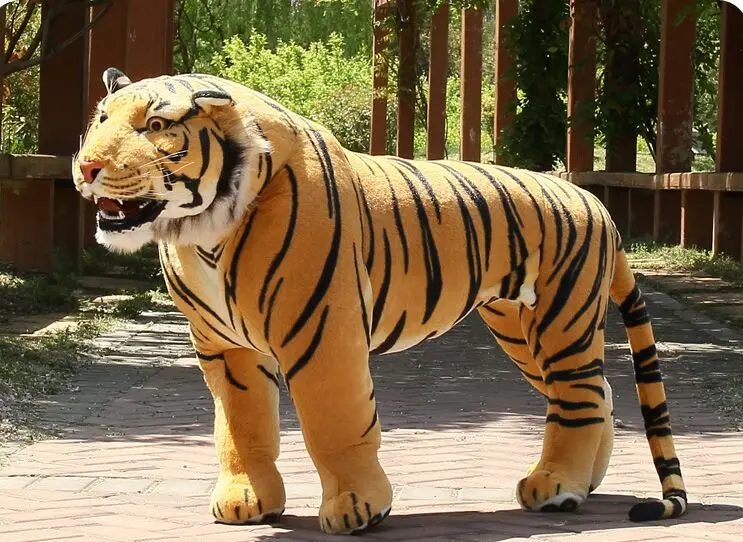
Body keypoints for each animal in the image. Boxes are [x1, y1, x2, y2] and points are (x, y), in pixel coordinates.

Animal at [72, 68, 687, 535]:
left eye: (155, 126)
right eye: (100, 121)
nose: (87, 167)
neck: (201, 229)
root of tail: (595, 202)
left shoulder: (321, 330)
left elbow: (334, 421)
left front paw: (358, 507)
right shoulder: (228, 348)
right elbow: (241, 428)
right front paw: (248, 500)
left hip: (560, 319)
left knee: (581, 396)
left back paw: (557, 487)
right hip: (519, 327)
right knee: (598, 392)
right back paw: (584, 482)